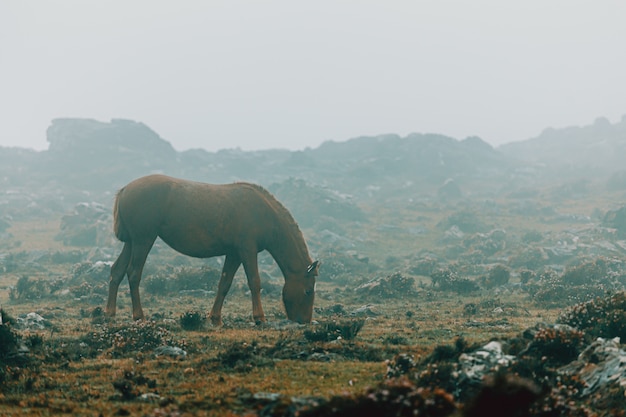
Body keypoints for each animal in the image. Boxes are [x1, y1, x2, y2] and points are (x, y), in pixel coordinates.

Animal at [105, 174, 320, 324]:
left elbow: (224, 283)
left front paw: (216, 317)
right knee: (133, 273)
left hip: (131, 242)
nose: (305, 321)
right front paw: (259, 317)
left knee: (117, 271)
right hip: (143, 241)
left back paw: (110, 313)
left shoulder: (233, 254)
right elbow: (254, 281)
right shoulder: (247, 251)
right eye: (308, 291)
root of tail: (125, 189)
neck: (264, 212)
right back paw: (138, 315)